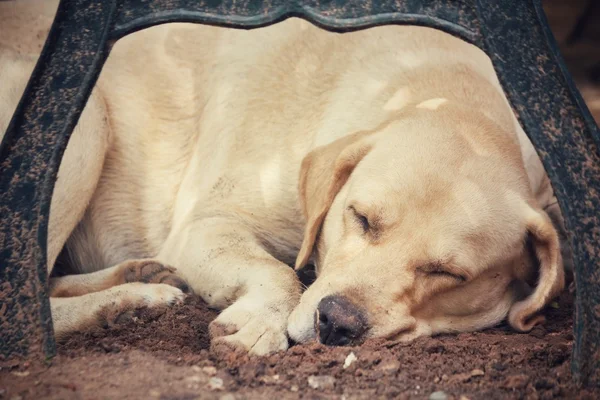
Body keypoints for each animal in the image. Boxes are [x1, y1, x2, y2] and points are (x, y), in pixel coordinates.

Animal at [0, 0, 568, 356]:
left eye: (450, 274)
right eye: (360, 218)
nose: (337, 322)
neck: (436, 87)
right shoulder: (209, 223)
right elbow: (280, 272)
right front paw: (260, 325)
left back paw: (138, 279)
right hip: (86, 121)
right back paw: (127, 304)